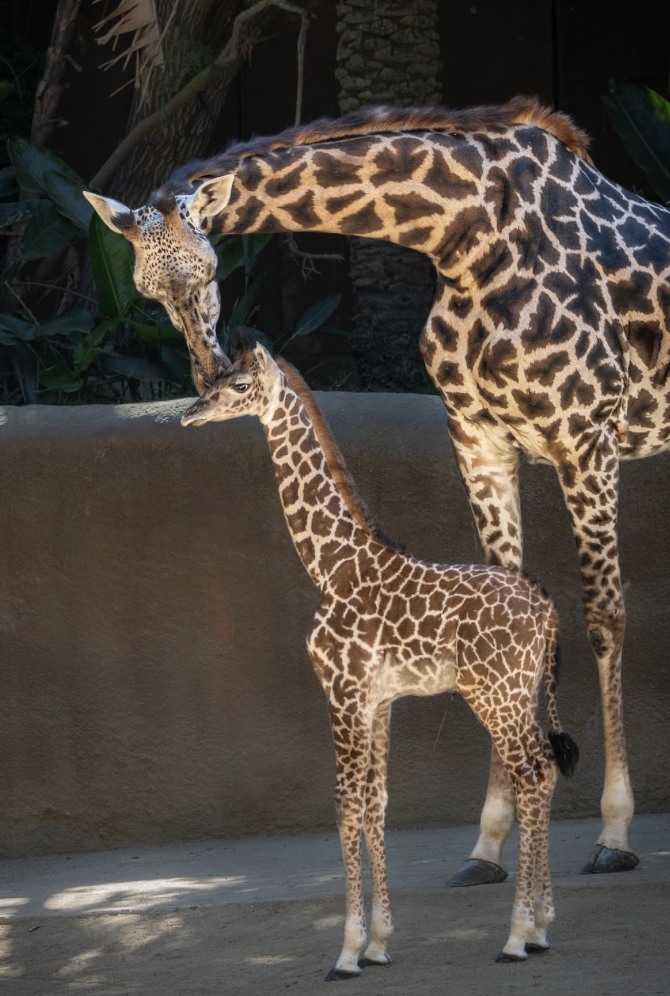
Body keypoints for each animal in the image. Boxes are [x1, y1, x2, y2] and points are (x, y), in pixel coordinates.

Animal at [84, 94, 670, 881]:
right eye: (146, 290)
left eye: (209, 265)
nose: (208, 373)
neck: (466, 235)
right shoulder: (477, 437)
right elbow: (504, 597)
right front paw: (487, 843)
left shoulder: (586, 433)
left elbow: (606, 618)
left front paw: (615, 832)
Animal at [180, 330, 580, 977]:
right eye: (212, 380)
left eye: (237, 385)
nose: (190, 413)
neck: (331, 564)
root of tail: (547, 612)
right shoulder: (379, 700)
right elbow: (377, 804)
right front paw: (379, 943)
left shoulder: (342, 691)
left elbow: (345, 804)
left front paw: (345, 952)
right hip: (522, 692)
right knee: (541, 770)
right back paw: (541, 927)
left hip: (494, 694)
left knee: (532, 772)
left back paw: (518, 936)